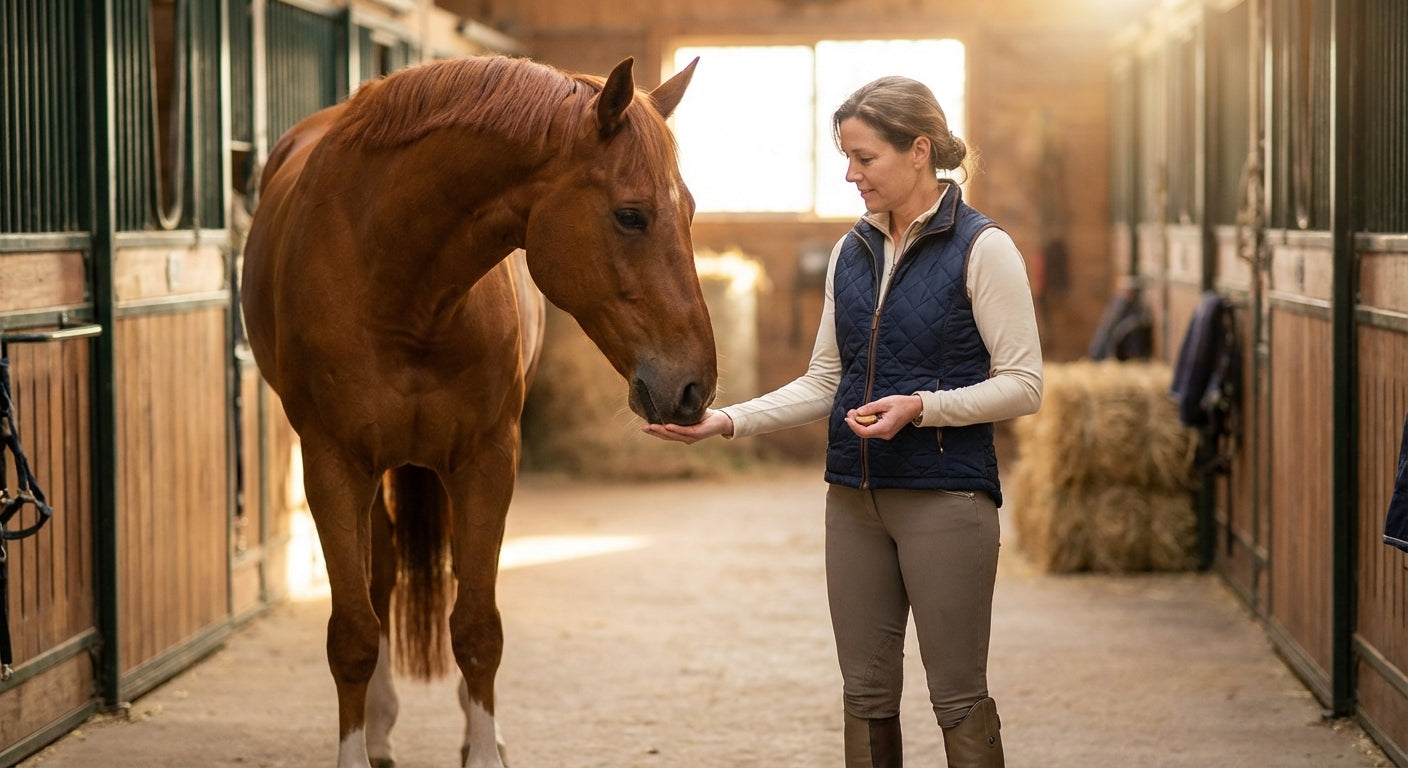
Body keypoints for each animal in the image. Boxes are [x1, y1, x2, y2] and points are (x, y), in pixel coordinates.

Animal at [240, 55, 717, 768]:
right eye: (631, 216)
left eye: (687, 210)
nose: (695, 387)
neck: (399, 286)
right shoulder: (331, 464)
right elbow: (353, 633)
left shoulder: (488, 459)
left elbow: (478, 627)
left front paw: (485, 746)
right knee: (381, 578)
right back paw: (378, 728)